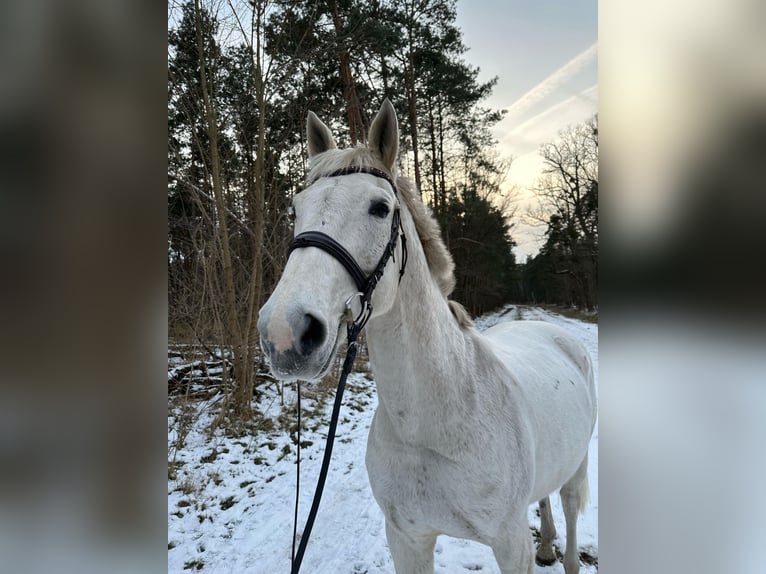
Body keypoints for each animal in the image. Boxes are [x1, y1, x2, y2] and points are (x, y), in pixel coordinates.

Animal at [257, 99, 597, 574]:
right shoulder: (407, 540)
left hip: (577, 465)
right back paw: (547, 545)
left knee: (567, 508)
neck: (433, 424)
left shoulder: (511, 544)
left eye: (380, 208)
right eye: (295, 209)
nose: (285, 333)